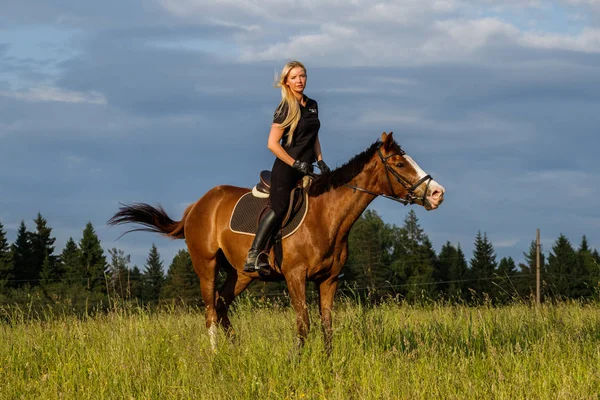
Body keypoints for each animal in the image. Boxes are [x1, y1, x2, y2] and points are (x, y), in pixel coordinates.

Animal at [109, 133, 446, 352]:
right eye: (400, 164)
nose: (437, 193)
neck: (327, 216)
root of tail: (197, 205)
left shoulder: (329, 279)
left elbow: (327, 326)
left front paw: (329, 365)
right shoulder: (295, 277)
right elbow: (303, 323)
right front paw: (298, 362)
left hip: (240, 273)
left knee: (221, 304)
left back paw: (238, 350)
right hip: (206, 266)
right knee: (209, 312)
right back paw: (216, 357)